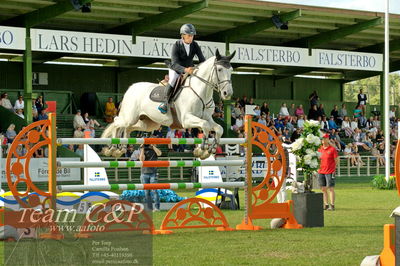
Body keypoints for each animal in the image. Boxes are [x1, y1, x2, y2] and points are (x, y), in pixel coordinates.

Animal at [101, 49, 236, 159]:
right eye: (219, 69)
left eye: (231, 70)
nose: (227, 93)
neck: (201, 91)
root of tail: (131, 88)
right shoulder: (186, 119)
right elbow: (205, 126)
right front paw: (202, 150)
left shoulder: (207, 118)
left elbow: (218, 128)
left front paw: (210, 149)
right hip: (130, 117)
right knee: (117, 122)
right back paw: (112, 148)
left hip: (148, 123)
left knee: (127, 128)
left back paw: (121, 149)